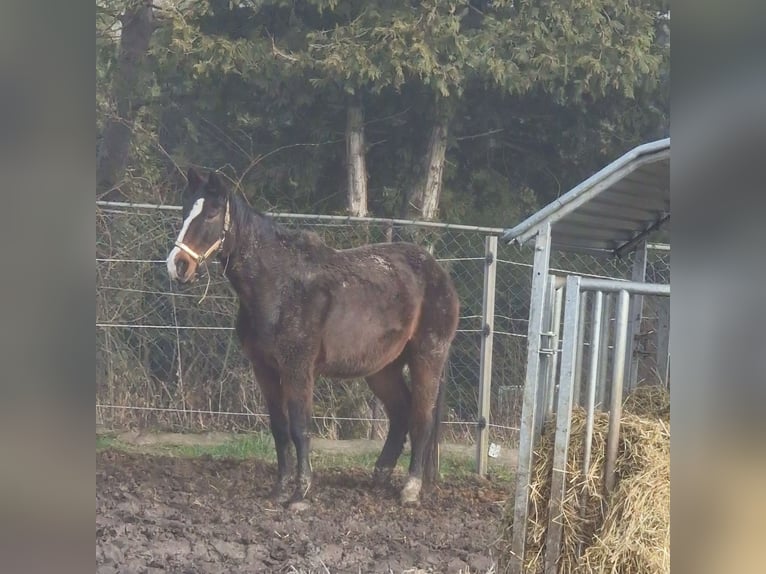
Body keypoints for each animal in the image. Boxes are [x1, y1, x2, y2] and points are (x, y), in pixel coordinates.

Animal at [165, 169, 460, 510]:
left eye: (212, 212)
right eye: (185, 210)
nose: (178, 265)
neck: (278, 285)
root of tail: (439, 272)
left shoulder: (298, 369)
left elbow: (300, 427)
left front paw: (300, 492)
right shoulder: (265, 369)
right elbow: (280, 428)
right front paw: (279, 489)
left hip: (428, 356)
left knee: (421, 417)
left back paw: (411, 488)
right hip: (382, 369)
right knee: (400, 413)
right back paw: (380, 475)